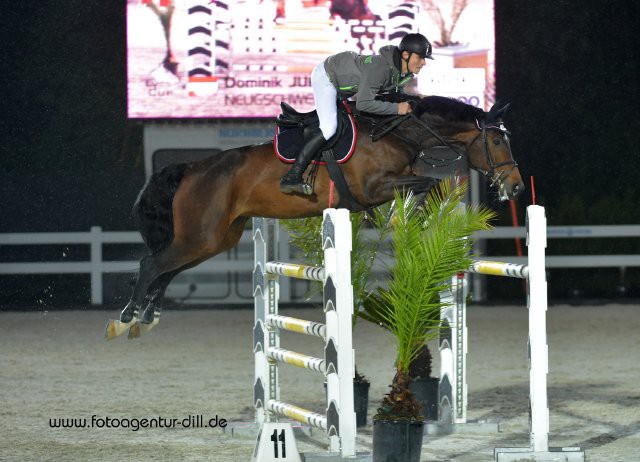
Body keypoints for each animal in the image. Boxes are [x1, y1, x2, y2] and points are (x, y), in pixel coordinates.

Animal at [105, 94, 524, 340]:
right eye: (497, 140)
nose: (517, 187)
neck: (395, 133)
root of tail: (192, 168)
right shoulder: (373, 186)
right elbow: (423, 183)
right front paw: (403, 216)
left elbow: (423, 186)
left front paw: (406, 218)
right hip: (200, 236)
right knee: (151, 264)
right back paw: (125, 318)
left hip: (215, 239)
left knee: (167, 269)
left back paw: (148, 317)